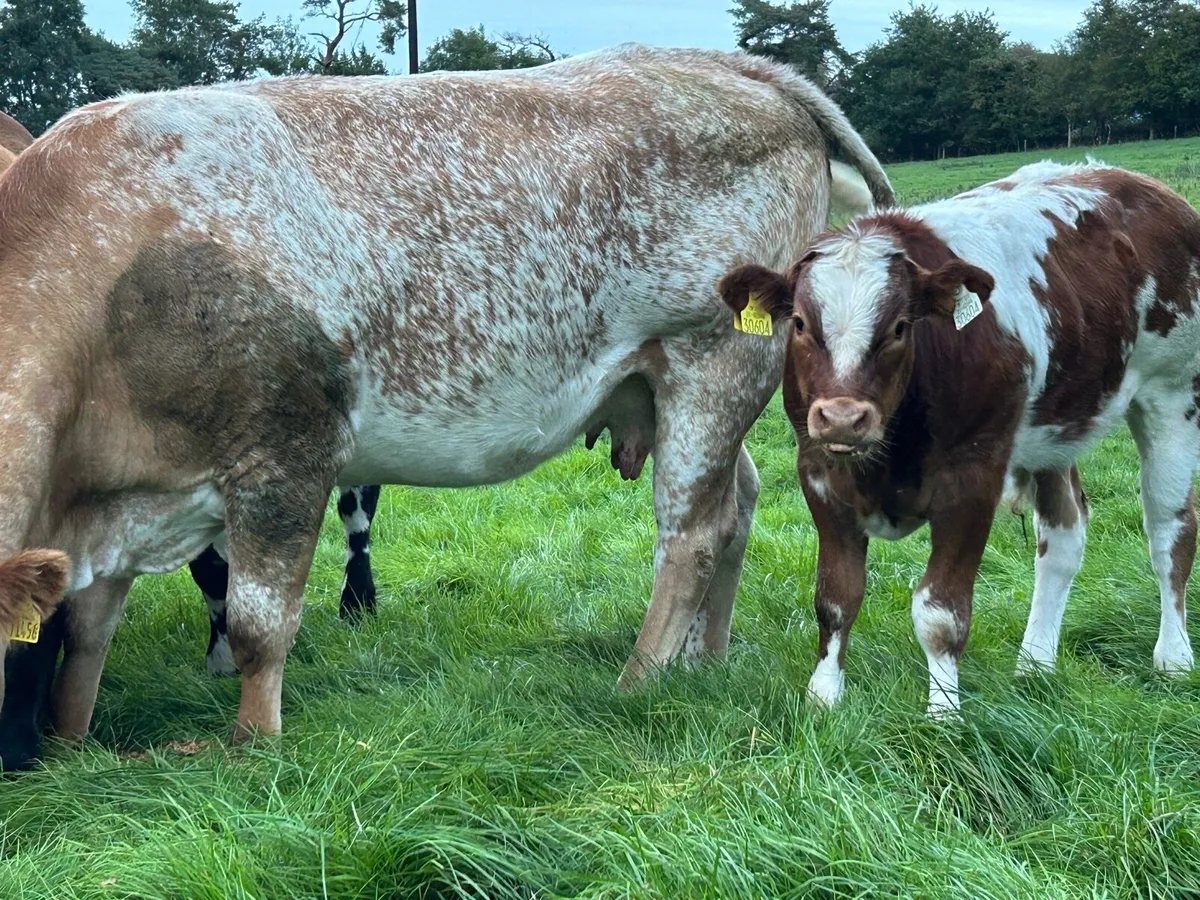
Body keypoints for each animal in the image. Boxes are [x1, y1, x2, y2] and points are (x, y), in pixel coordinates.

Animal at [0, 43, 893, 768]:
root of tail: (734, 67)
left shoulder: (285, 454)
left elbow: (258, 626)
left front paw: (251, 746)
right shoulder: (121, 497)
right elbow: (86, 630)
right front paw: (73, 743)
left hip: (712, 365)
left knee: (693, 534)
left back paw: (639, 680)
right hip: (678, 391)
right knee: (739, 501)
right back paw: (703, 659)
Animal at [718, 159, 1200, 716]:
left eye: (900, 326)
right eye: (798, 322)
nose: (842, 418)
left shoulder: (973, 478)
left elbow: (940, 612)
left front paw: (943, 714)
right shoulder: (818, 472)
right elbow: (836, 597)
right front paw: (824, 698)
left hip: (1173, 393)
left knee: (1169, 530)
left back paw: (1174, 657)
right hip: (1055, 429)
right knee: (1064, 535)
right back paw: (1035, 664)